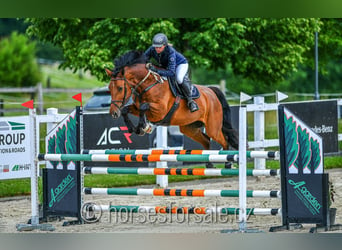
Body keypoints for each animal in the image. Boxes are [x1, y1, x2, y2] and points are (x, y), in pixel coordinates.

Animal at [106, 50, 238, 168]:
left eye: (119, 88)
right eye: (109, 88)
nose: (113, 113)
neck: (148, 84)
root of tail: (211, 91)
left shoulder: (160, 111)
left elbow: (144, 107)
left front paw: (144, 127)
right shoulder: (137, 107)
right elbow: (126, 110)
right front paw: (134, 128)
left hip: (212, 128)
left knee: (224, 141)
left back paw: (228, 163)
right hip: (189, 128)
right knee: (206, 140)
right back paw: (209, 164)